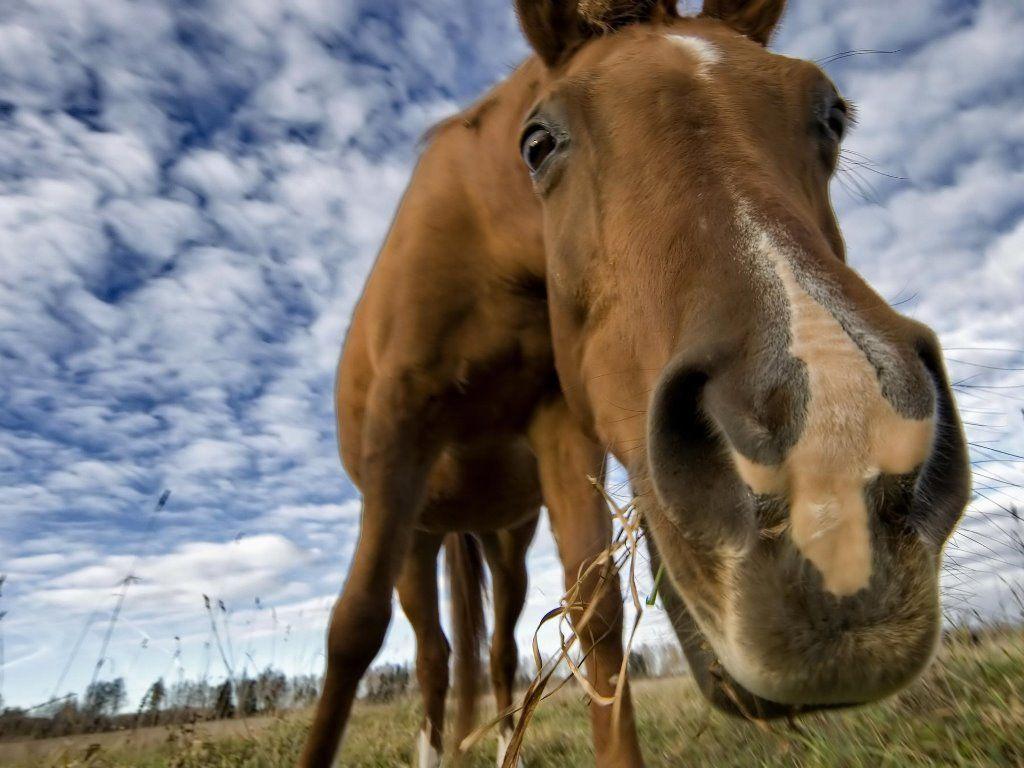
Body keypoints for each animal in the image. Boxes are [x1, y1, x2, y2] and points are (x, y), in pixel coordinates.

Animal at [300, 0, 972, 766]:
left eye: (831, 115)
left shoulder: (561, 426)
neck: (486, 241)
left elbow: (595, 615)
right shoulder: (399, 426)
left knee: (496, 649)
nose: (835, 469)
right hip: (416, 531)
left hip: (505, 537)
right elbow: (354, 629)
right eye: (537, 143)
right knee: (433, 654)